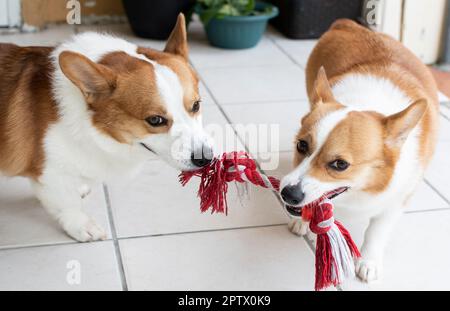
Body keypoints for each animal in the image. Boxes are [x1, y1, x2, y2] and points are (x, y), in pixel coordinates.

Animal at [0, 14, 214, 243]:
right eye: (155, 120)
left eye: (196, 105)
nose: (205, 159)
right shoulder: (49, 172)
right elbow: (68, 203)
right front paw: (82, 226)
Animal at [280, 18, 438, 282]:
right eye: (302, 145)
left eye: (340, 164)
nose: (288, 194)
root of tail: (350, 24)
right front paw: (302, 221)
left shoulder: (398, 199)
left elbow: (377, 231)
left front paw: (368, 261)